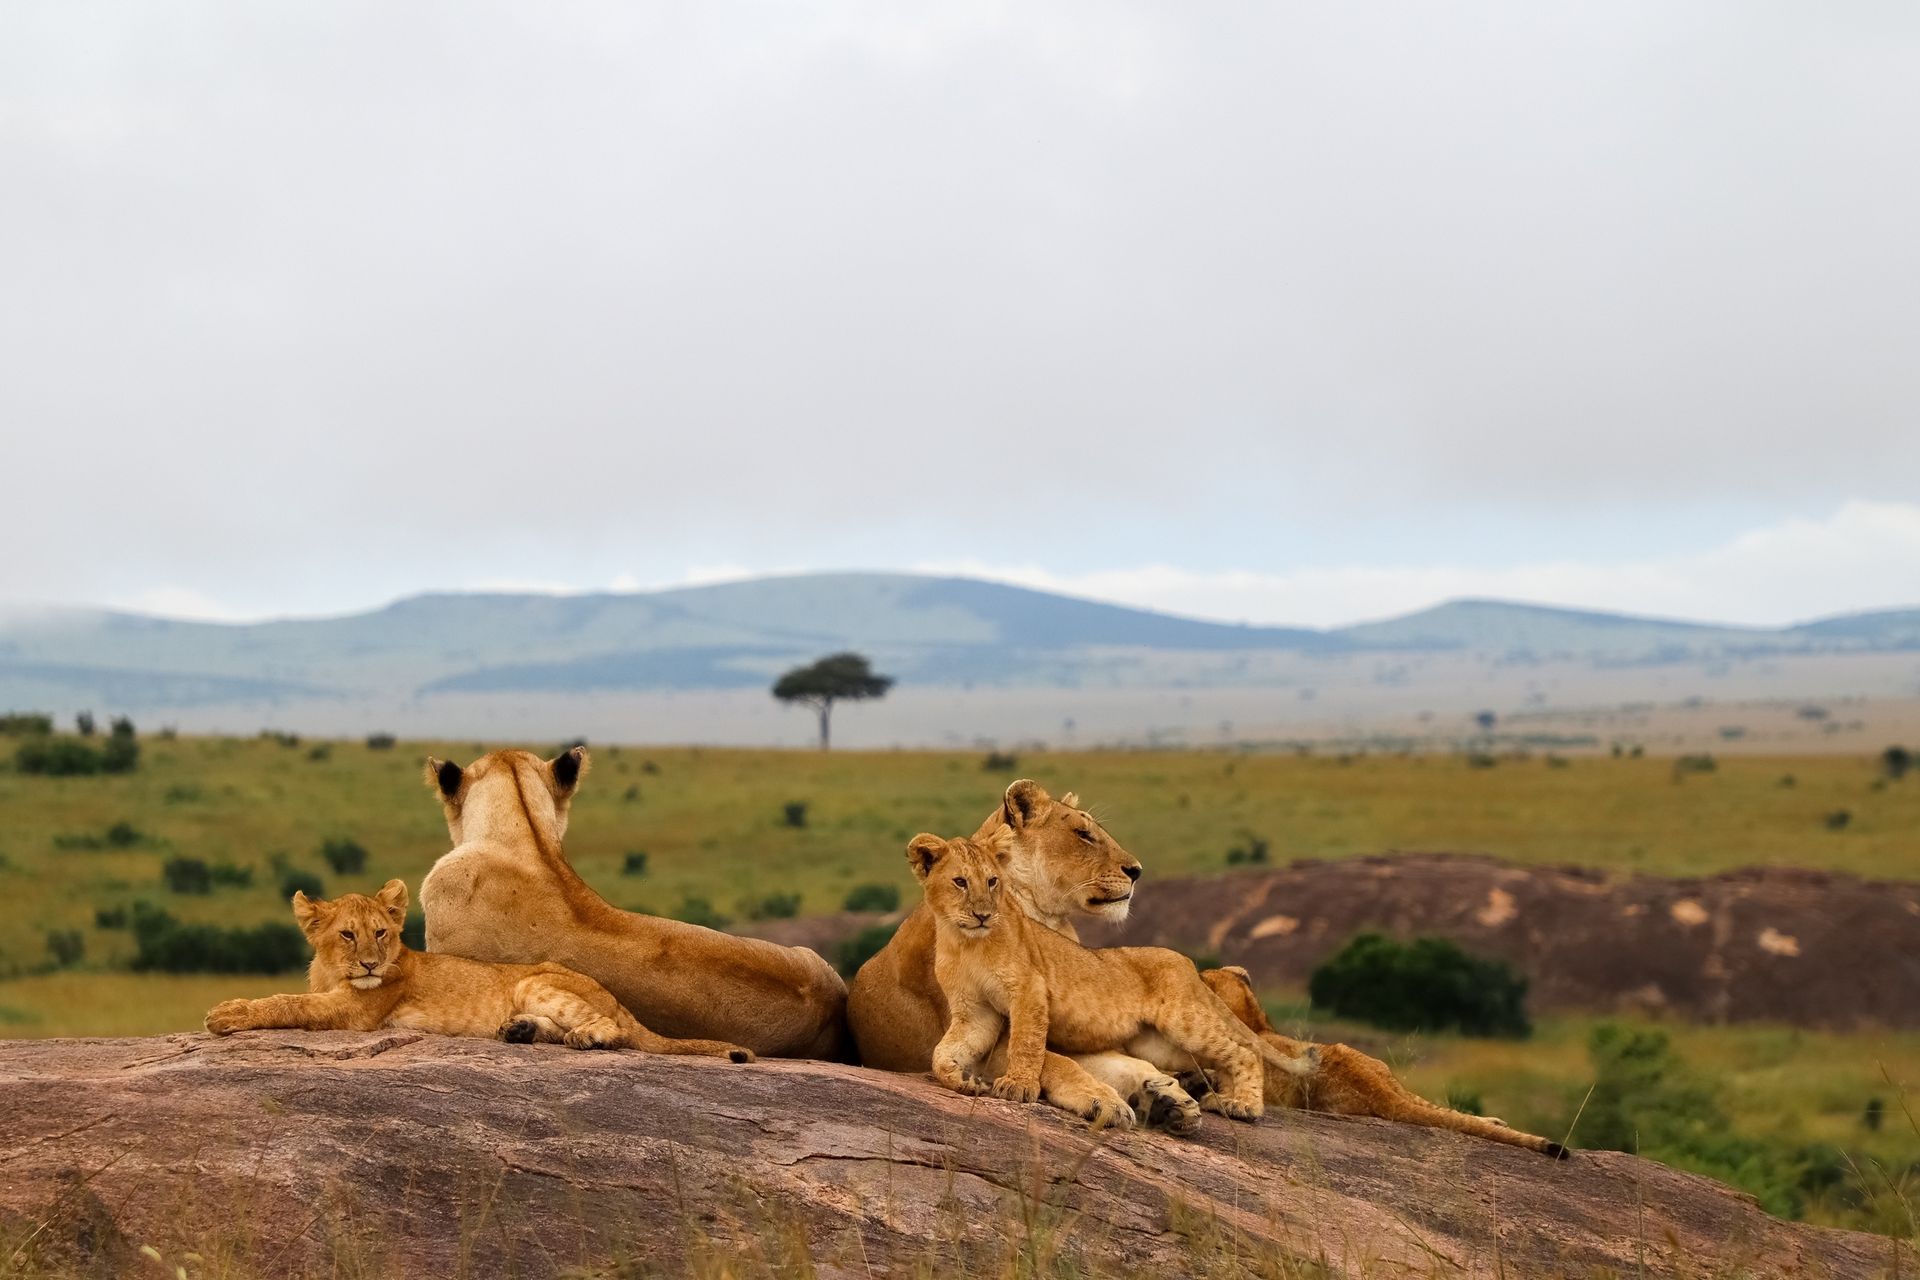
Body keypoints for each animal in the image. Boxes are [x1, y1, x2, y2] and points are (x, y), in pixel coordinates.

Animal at [204, 879, 754, 1062]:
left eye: (381, 933)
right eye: (347, 934)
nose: (371, 963)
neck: (334, 973)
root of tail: (615, 996)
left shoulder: (356, 1012)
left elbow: (287, 1002)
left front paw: (227, 1014)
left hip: (537, 980)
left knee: (613, 1030)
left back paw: (585, 1037)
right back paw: (517, 1031)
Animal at [849, 780, 1203, 1131]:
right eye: (1083, 834)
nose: (1137, 871)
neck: (1045, 919)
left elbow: (1117, 1060)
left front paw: (1169, 1096)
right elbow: (1051, 1060)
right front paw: (1104, 1099)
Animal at [911, 829, 1315, 1122]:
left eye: (993, 881)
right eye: (961, 882)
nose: (982, 914)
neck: (965, 942)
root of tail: (1185, 962)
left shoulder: (1029, 991)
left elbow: (1029, 1046)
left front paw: (1018, 1087)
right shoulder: (975, 1011)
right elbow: (941, 1053)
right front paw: (962, 1079)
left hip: (1186, 1022)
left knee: (1244, 1051)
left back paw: (1242, 1105)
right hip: (1159, 1044)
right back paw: (1206, 1095)